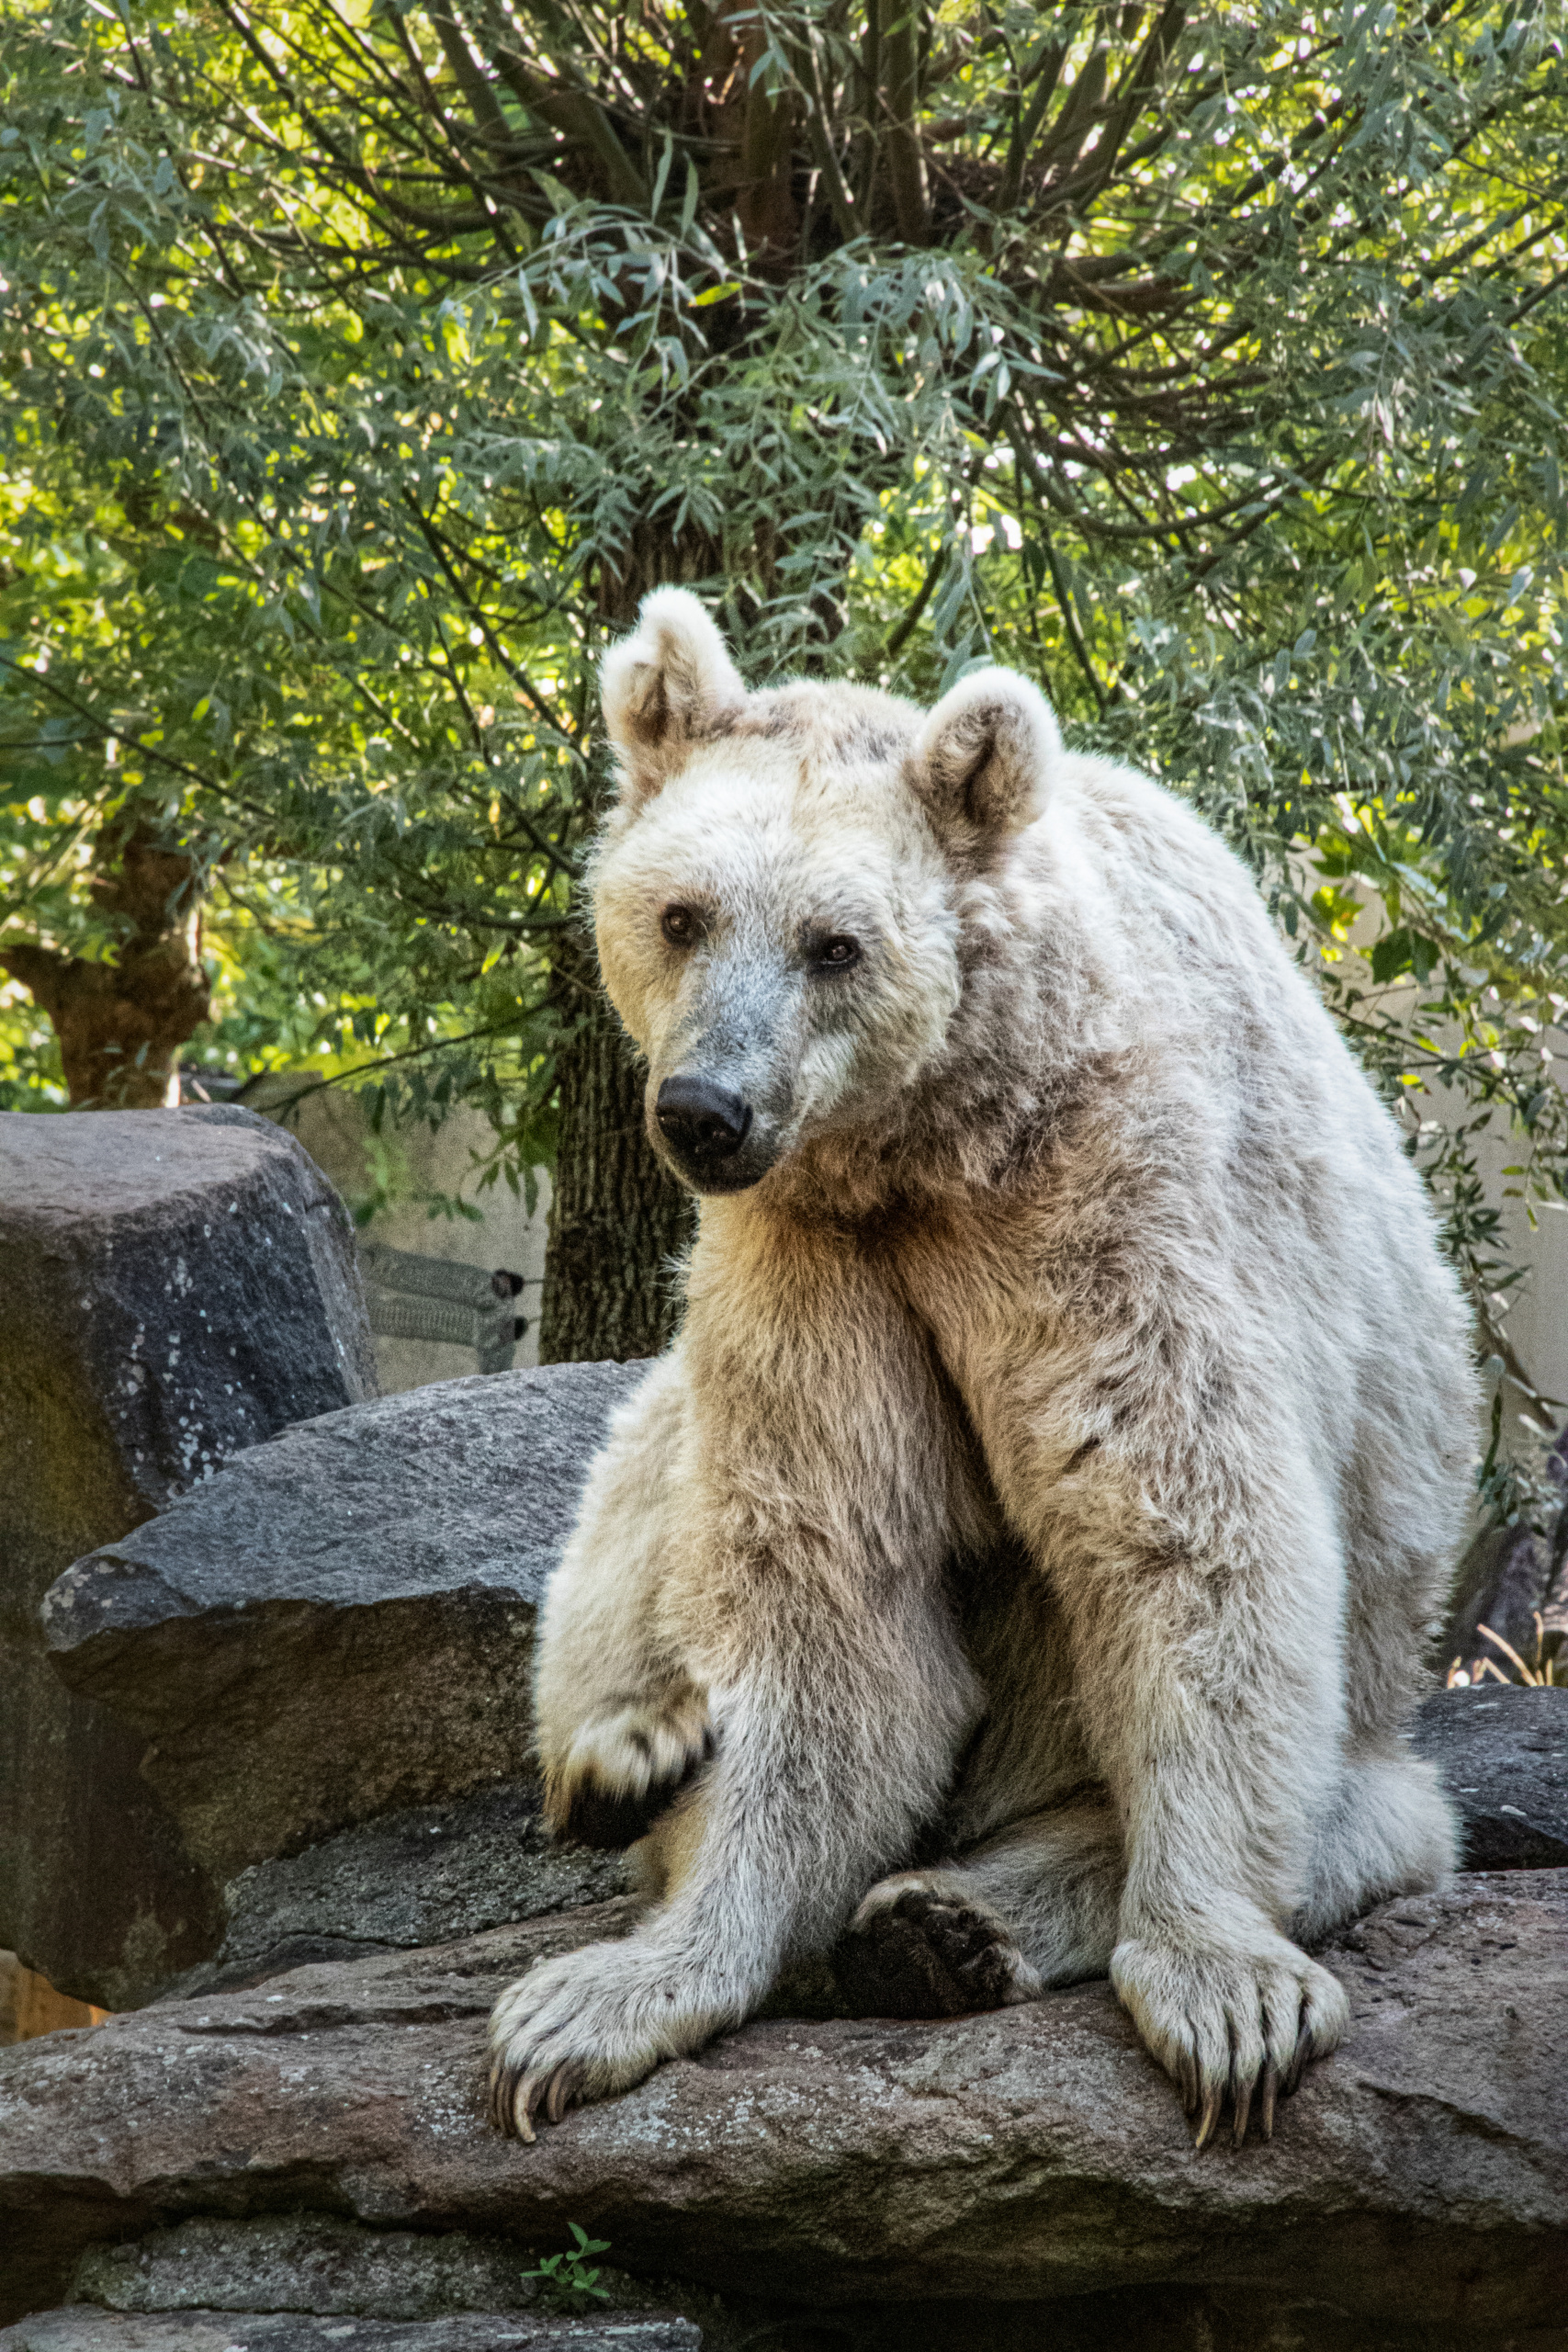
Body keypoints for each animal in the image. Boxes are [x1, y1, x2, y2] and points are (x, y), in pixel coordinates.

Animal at [484, 582, 1476, 2154]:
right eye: (681, 914)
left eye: (832, 943)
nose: (704, 1109)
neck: (936, 1136)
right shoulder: (813, 1254)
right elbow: (829, 1570)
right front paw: (605, 1995)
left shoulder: (1101, 1198)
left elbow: (1178, 1523)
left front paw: (1224, 1993)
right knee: (637, 1480)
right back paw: (625, 1753)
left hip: (1376, 1685)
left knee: (1368, 1807)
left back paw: (951, 1922)